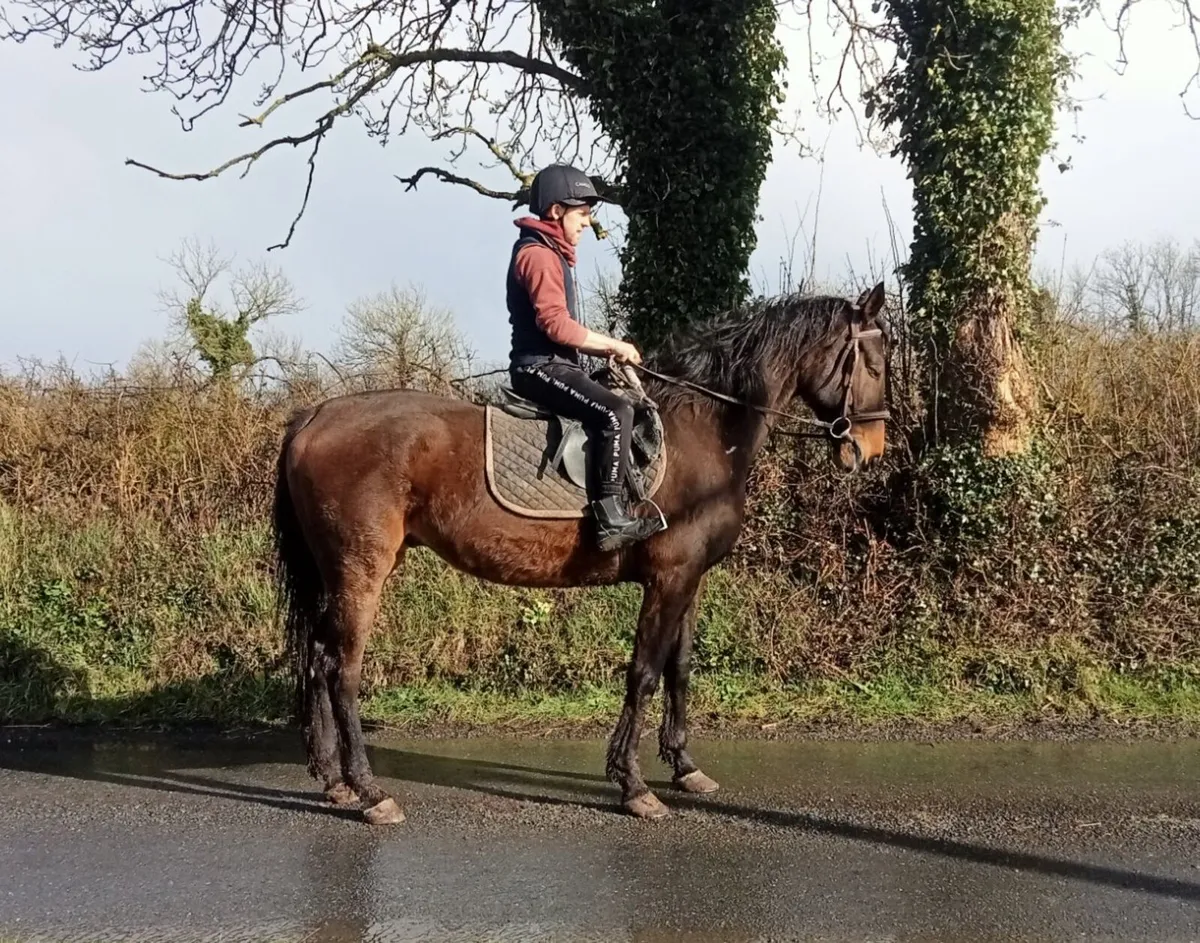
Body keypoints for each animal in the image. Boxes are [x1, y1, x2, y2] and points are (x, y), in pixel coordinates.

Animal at [271, 283, 891, 825]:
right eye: (877, 365)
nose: (871, 450)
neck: (705, 431)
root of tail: (316, 415)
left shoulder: (689, 578)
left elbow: (679, 667)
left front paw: (685, 767)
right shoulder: (668, 578)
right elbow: (643, 672)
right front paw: (633, 785)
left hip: (341, 573)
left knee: (318, 659)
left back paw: (334, 781)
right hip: (360, 570)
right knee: (342, 669)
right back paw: (371, 792)